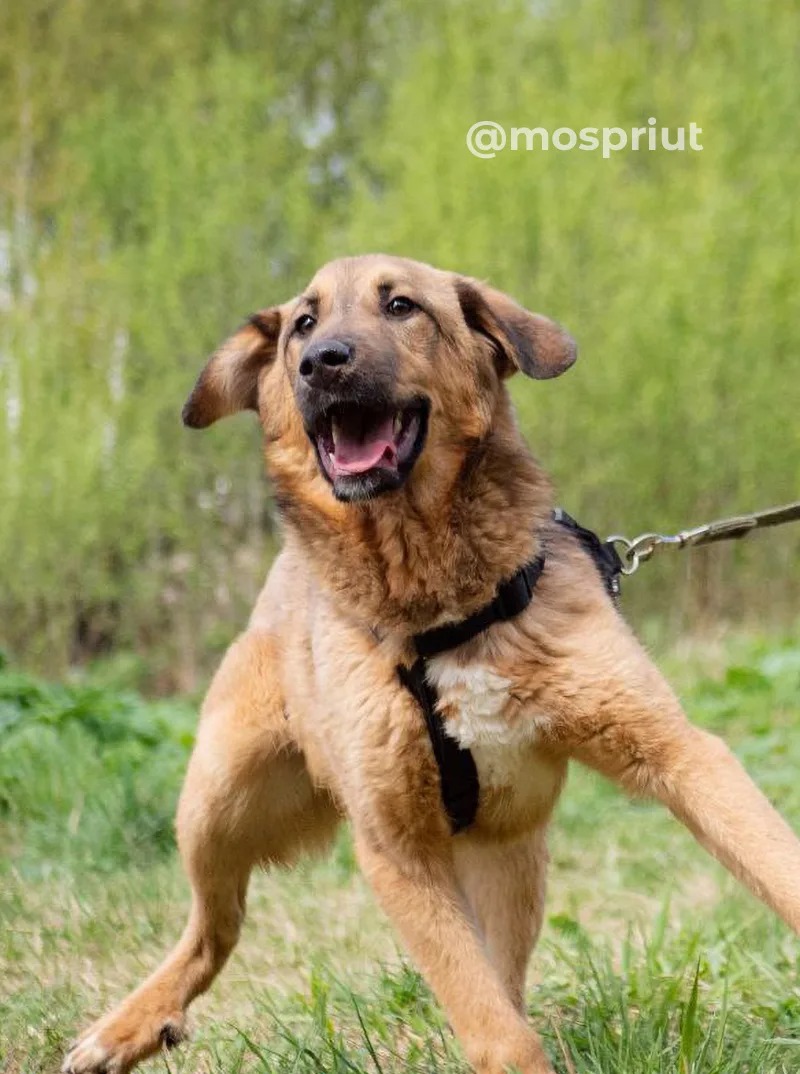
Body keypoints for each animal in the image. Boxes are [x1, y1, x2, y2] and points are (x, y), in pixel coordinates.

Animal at [62, 257, 798, 1074]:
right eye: (303, 326)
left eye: (402, 307)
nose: (323, 363)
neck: (437, 611)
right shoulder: (397, 849)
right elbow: (491, 1026)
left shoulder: (680, 754)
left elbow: (776, 865)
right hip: (214, 802)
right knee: (213, 926)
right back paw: (129, 1026)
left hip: (506, 858)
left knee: (497, 973)